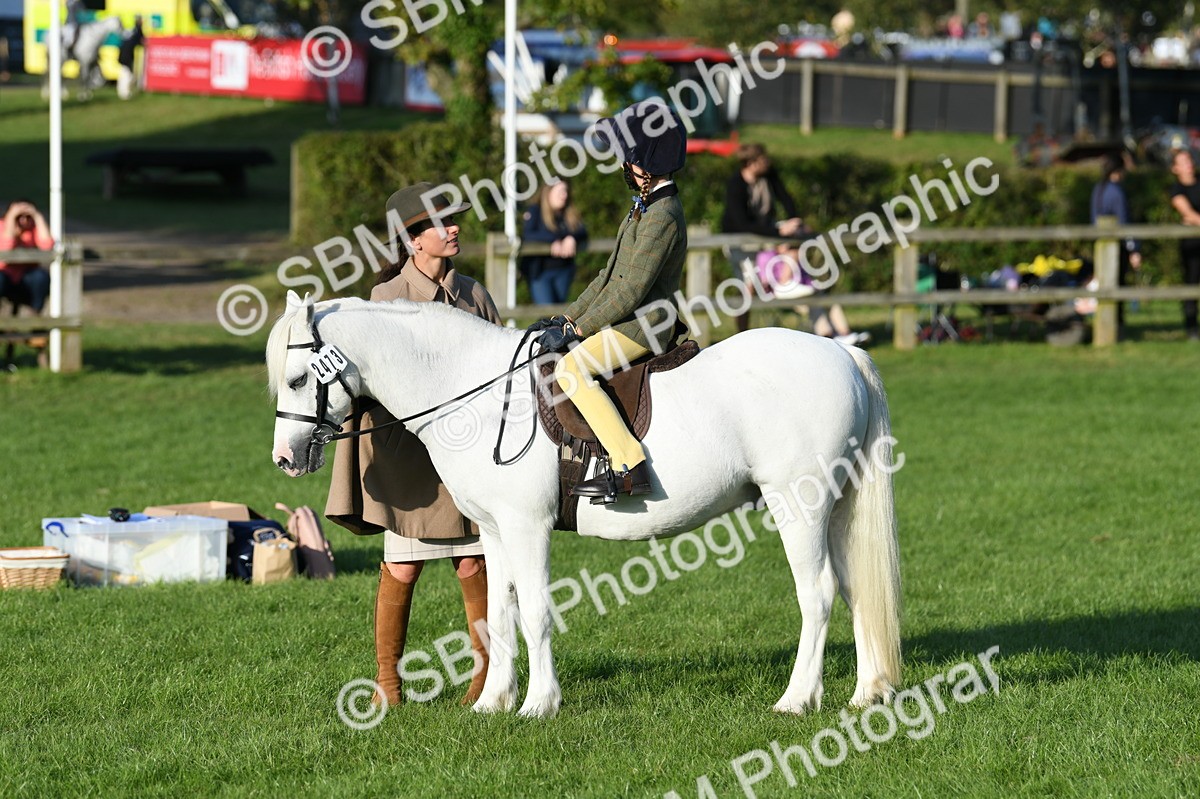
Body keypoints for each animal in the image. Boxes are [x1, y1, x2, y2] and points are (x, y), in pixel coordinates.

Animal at [267, 291, 901, 718]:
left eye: (298, 378)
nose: (284, 458)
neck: (474, 391)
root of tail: (844, 353)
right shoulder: (494, 531)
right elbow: (497, 613)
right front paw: (492, 703)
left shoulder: (527, 527)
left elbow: (534, 612)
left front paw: (538, 705)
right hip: (836, 507)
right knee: (855, 589)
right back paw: (866, 692)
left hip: (800, 504)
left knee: (818, 593)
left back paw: (797, 699)